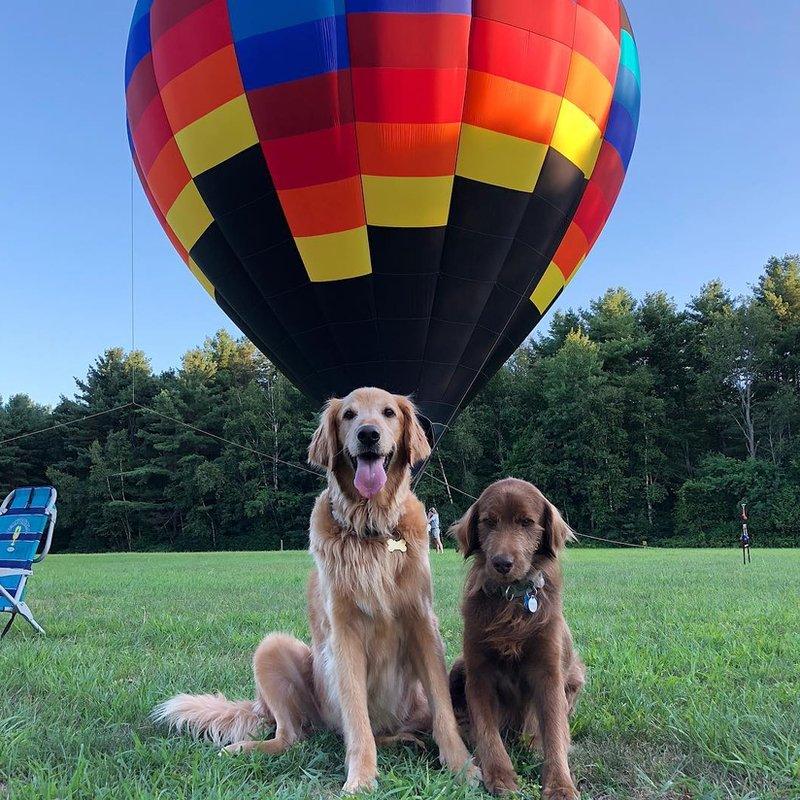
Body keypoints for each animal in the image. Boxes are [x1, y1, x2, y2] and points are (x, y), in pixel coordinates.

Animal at [154, 390, 478, 792]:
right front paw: (360, 779)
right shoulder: (345, 634)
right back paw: (245, 748)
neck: (371, 529)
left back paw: (406, 739)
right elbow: (357, 719)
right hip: (273, 649)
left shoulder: (422, 623)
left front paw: (463, 768)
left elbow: (443, 710)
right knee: (292, 736)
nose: (368, 434)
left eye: (388, 412)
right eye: (349, 415)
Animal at [446, 478, 584, 796]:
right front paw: (500, 776)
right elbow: (487, 731)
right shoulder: (478, 672)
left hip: (574, 677)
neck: (510, 602)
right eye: (489, 522)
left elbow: (555, 732)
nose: (502, 563)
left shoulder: (549, 672)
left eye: (526, 522)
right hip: (458, 666)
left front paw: (560, 785)